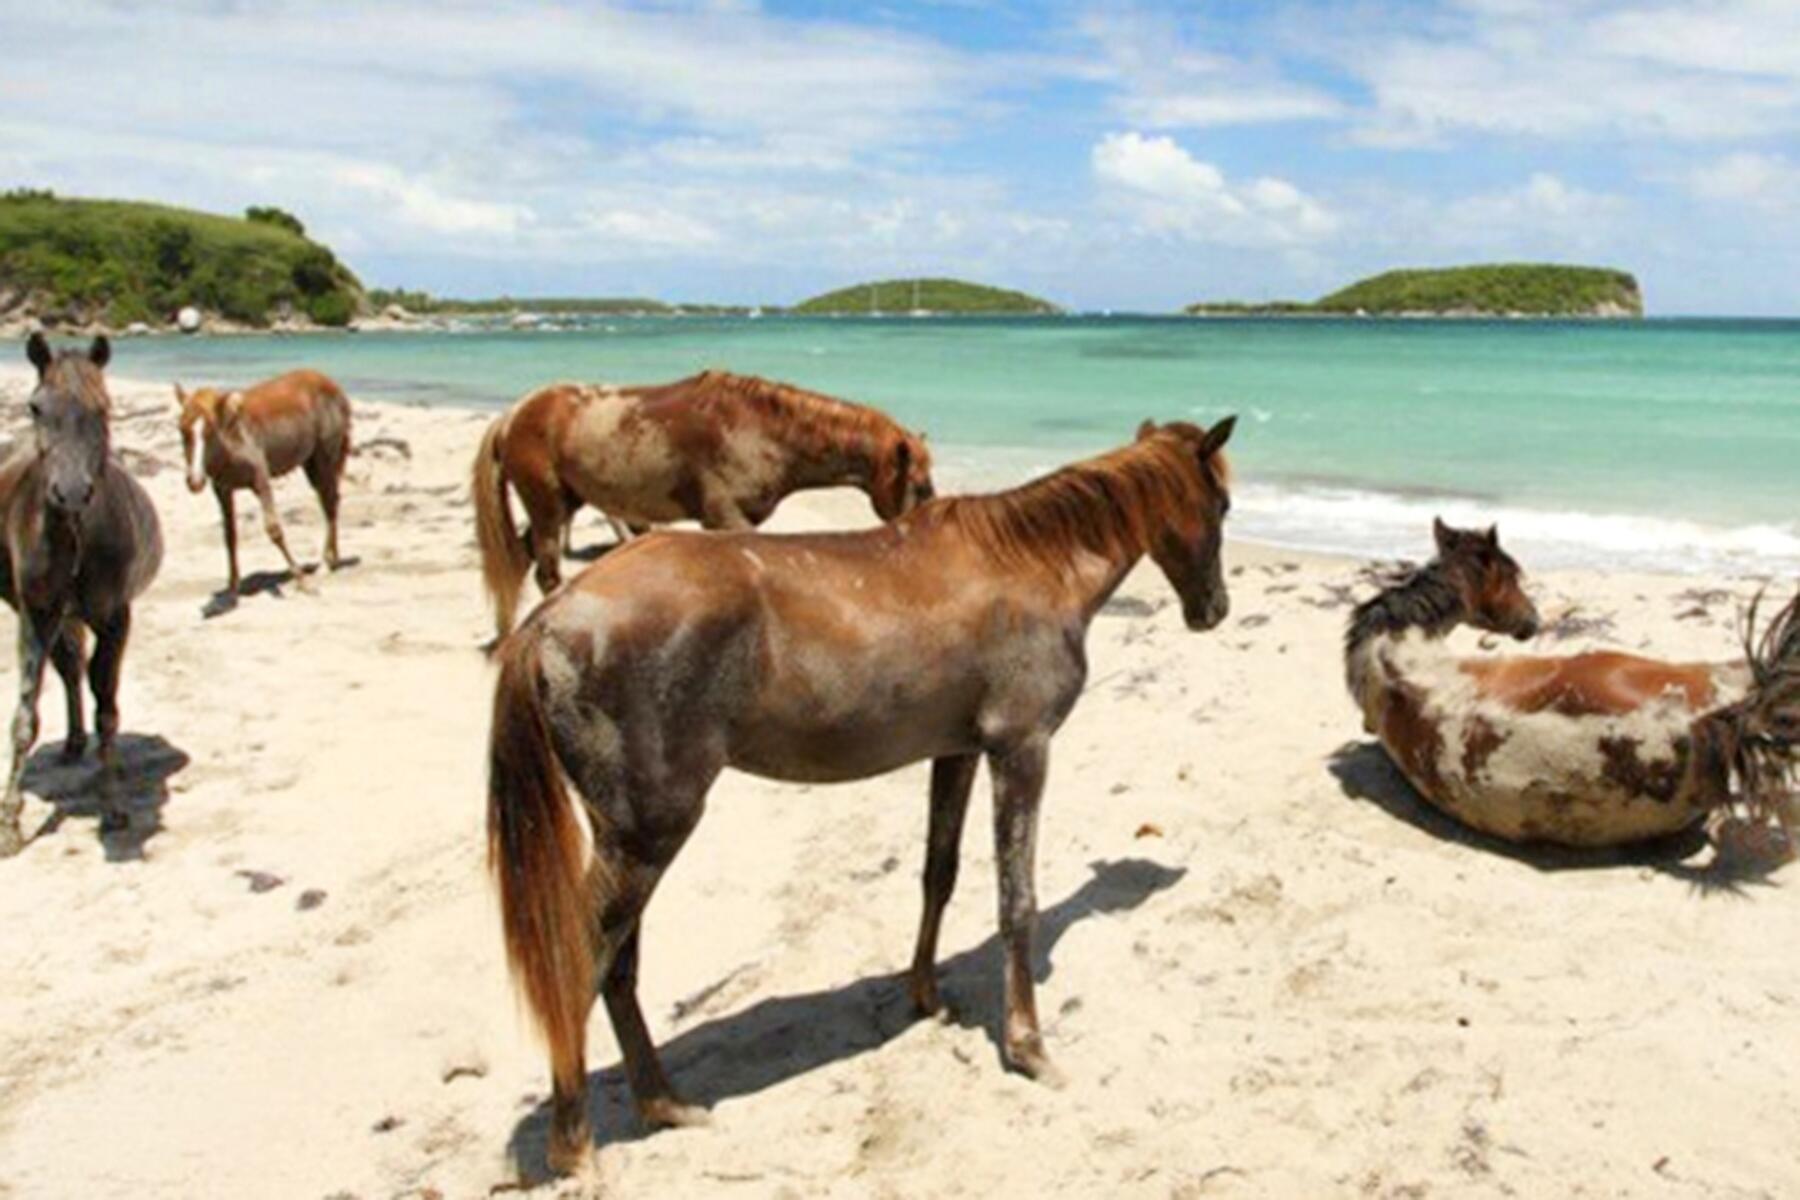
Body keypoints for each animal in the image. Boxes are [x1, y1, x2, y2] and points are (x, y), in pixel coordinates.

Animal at [0, 335, 163, 856]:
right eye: (36, 407)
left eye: (104, 408)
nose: (70, 493)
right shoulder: (36, 613)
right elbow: (24, 715)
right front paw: (10, 823)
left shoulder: (115, 618)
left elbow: (107, 710)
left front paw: (113, 807)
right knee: (69, 667)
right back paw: (72, 742)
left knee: (76, 671)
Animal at [175, 370, 351, 593]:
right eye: (182, 430)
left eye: (210, 431)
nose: (195, 481)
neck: (233, 441)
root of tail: (334, 386)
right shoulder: (223, 490)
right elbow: (229, 534)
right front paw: (233, 585)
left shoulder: (261, 481)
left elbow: (274, 530)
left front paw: (301, 580)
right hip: (311, 463)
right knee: (330, 500)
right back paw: (333, 559)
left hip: (325, 458)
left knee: (329, 503)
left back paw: (324, 565)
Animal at [472, 369, 936, 639]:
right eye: (919, 485)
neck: (763, 430)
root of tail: (515, 414)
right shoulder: (726, 519)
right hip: (548, 509)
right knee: (547, 573)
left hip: (562, 506)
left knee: (523, 559)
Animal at [485, 415, 1236, 1176]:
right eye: (1224, 507)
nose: (1215, 610)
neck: (1031, 563)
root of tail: (548, 622)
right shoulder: (1022, 750)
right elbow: (1015, 900)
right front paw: (1029, 1048)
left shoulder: (958, 752)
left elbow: (939, 872)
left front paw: (925, 996)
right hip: (648, 834)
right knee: (583, 956)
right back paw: (575, 1144)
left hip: (629, 837)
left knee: (619, 965)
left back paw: (664, 1104)